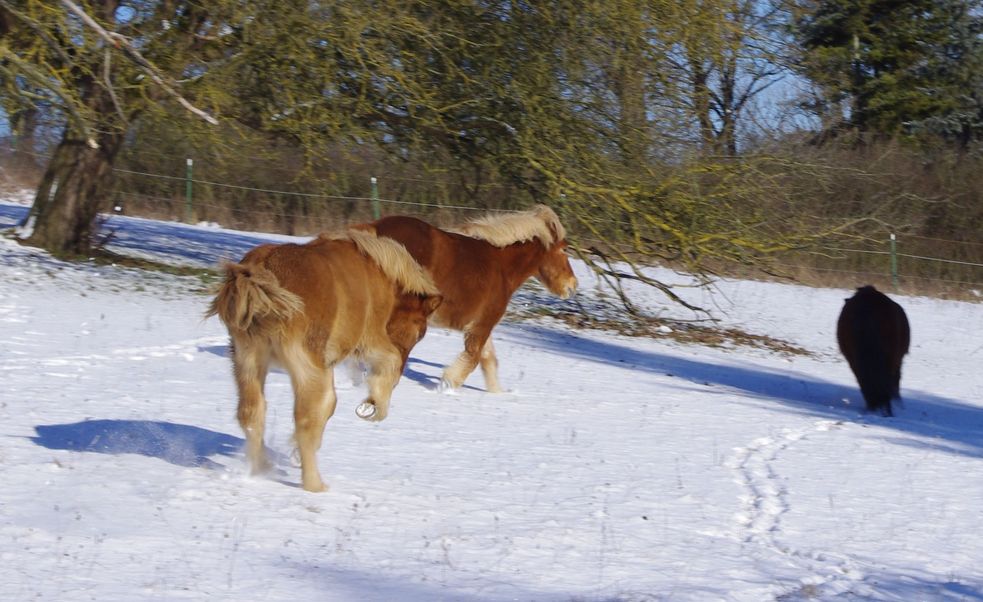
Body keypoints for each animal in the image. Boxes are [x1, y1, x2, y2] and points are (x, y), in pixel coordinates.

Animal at [209, 229, 444, 488]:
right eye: (419, 333)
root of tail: (263, 272)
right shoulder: (368, 341)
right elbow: (385, 366)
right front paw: (373, 407)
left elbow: (329, 406)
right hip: (307, 370)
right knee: (305, 419)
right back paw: (315, 485)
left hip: (247, 362)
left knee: (251, 414)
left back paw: (262, 468)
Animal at [356, 204, 576, 392]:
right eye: (564, 249)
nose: (573, 286)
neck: (502, 267)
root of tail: (374, 228)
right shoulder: (483, 324)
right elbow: (474, 358)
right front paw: (447, 384)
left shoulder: (480, 324)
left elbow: (488, 360)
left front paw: (497, 393)